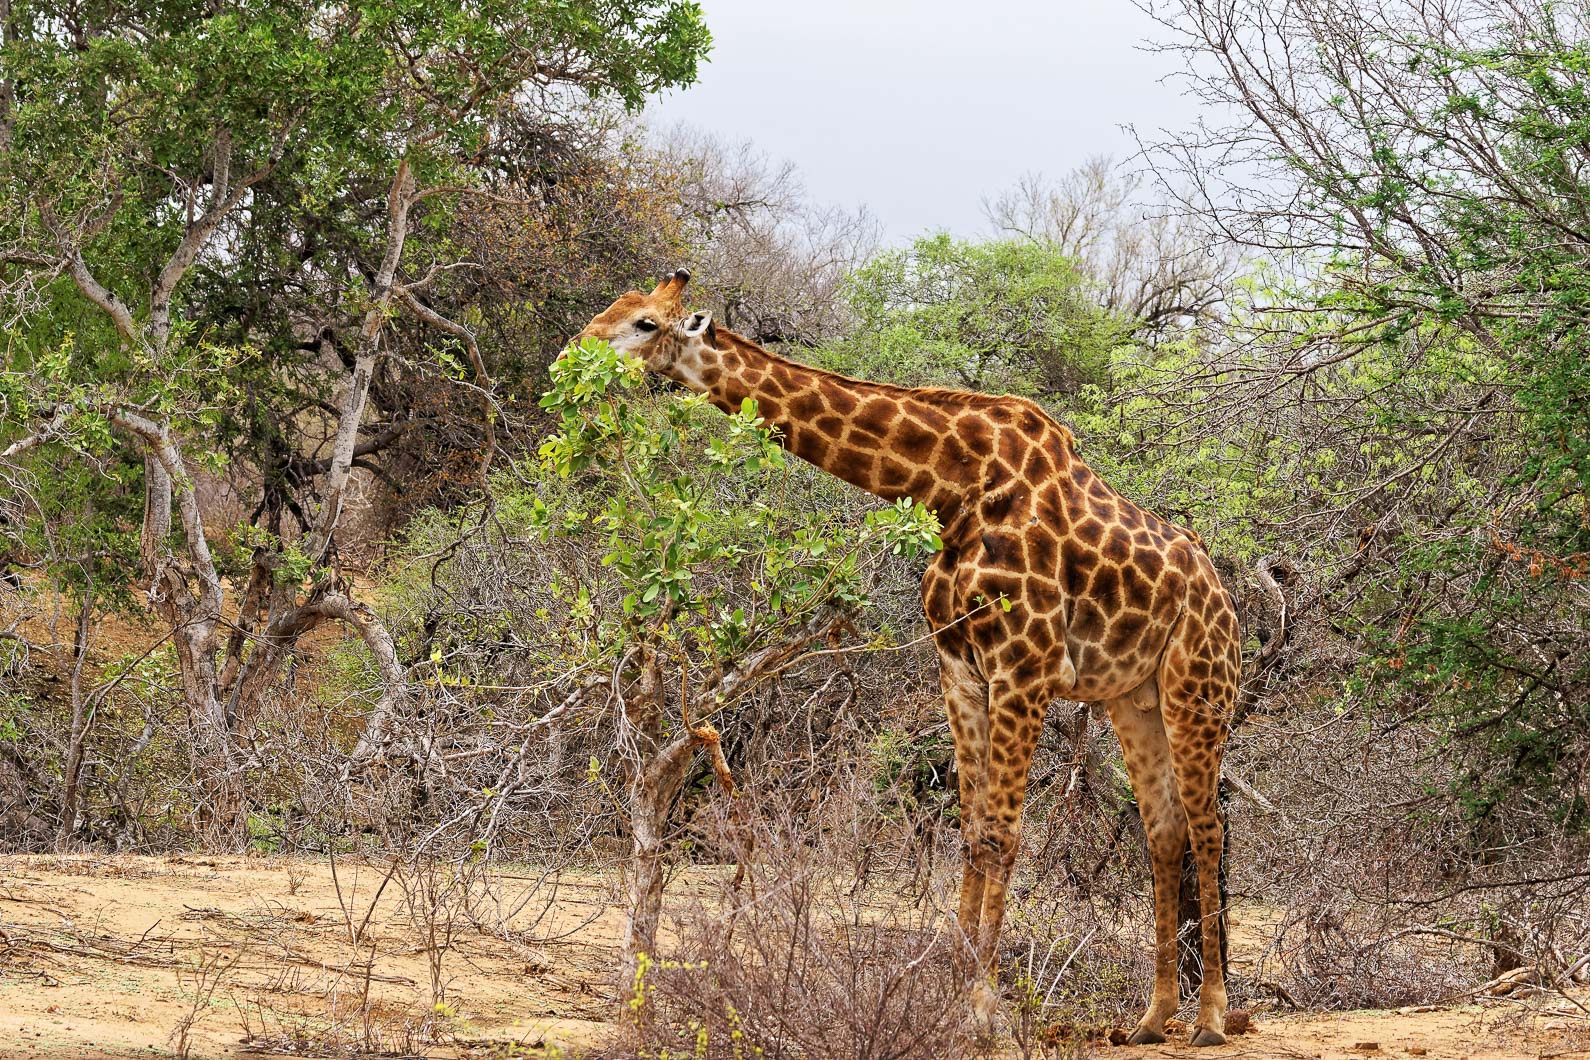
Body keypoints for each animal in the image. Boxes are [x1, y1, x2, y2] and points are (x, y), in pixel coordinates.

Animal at [573, 271, 1242, 1047]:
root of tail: (1223, 595)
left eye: (645, 323)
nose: (577, 351)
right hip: (1133, 699)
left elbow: (1002, 835)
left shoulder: (1025, 667)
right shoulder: (960, 666)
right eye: (614, 309)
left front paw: (984, 1012)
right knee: (1164, 830)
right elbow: (971, 831)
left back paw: (1211, 1016)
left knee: (1208, 828)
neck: (950, 488)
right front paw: (957, 1001)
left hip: (1198, 689)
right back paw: (1152, 1018)